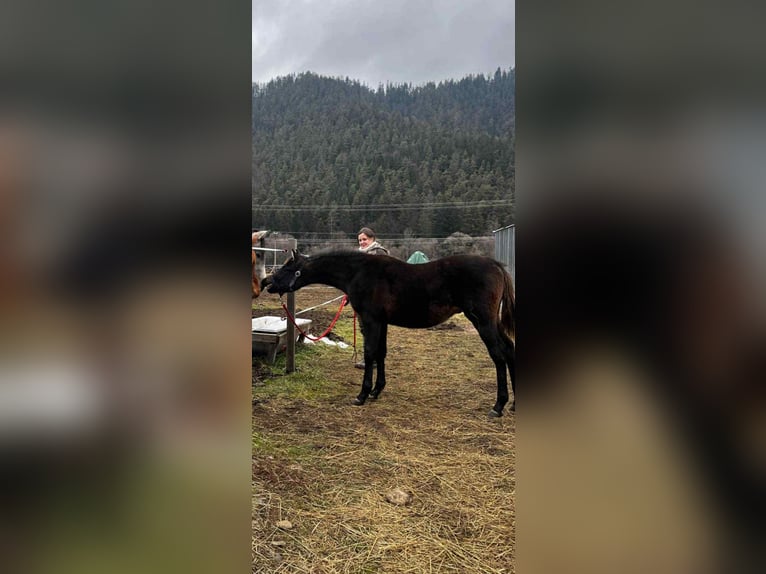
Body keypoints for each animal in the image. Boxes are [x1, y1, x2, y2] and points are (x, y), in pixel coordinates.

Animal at [265, 249, 515, 416]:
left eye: (288, 268)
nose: (268, 282)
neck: (359, 272)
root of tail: (496, 265)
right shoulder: (382, 322)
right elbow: (381, 353)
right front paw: (377, 390)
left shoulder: (371, 320)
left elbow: (369, 353)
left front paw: (362, 394)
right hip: (492, 322)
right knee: (510, 348)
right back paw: (513, 404)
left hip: (483, 321)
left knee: (499, 355)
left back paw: (499, 406)